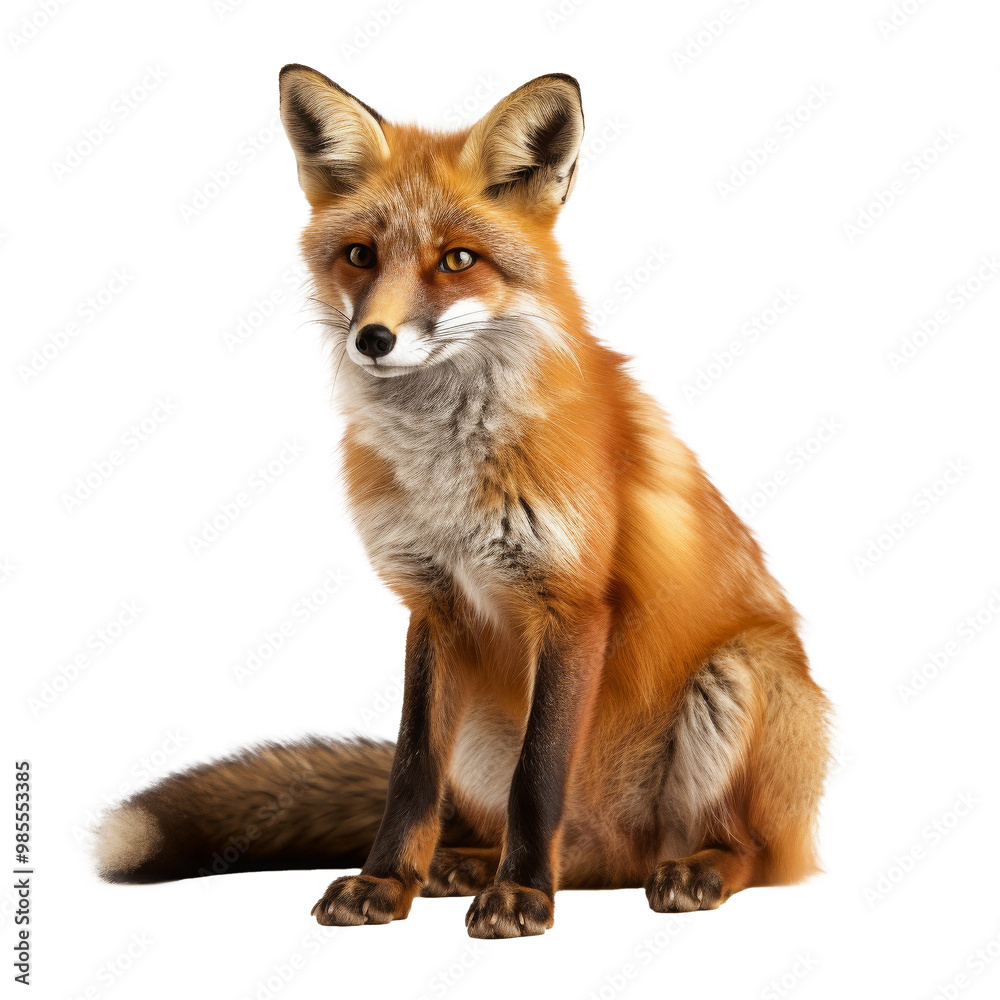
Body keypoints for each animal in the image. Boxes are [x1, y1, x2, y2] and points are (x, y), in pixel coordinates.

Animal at [93, 65, 831, 938]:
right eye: (359, 255)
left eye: (457, 260)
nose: (372, 339)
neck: (448, 476)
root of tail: (629, 853)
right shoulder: (432, 603)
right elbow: (411, 774)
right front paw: (384, 883)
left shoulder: (572, 603)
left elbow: (537, 781)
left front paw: (521, 898)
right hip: (488, 722)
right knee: (567, 852)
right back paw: (466, 864)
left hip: (740, 676)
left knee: (754, 853)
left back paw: (691, 870)